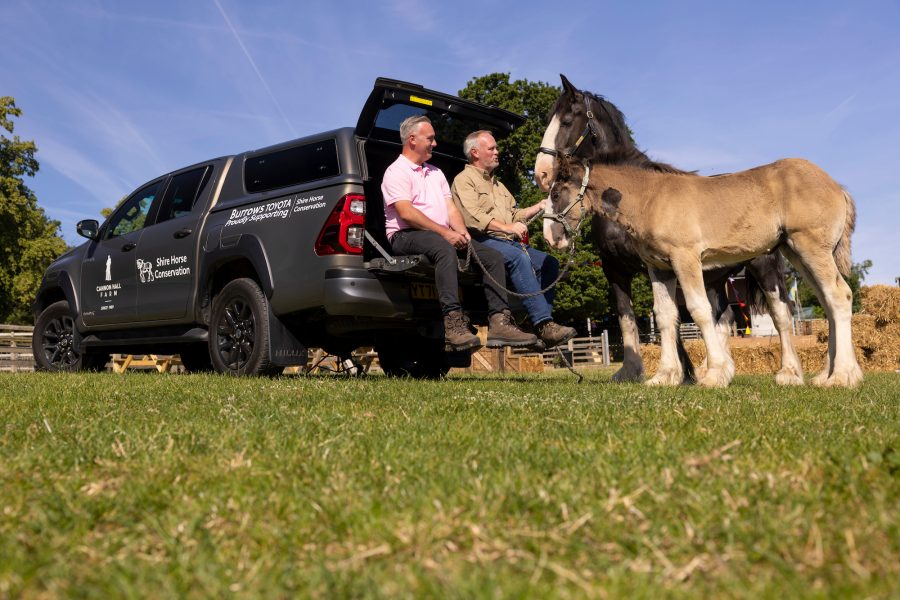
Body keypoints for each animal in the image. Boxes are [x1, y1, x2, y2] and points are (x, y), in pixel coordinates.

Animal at [536, 76, 800, 384]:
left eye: (566, 120)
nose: (541, 173)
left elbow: (669, 319)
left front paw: (683, 373)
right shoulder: (616, 269)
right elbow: (629, 317)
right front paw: (634, 370)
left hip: (763, 266)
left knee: (780, 312)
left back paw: (787, 372)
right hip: (717, 280)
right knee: (724, 318)